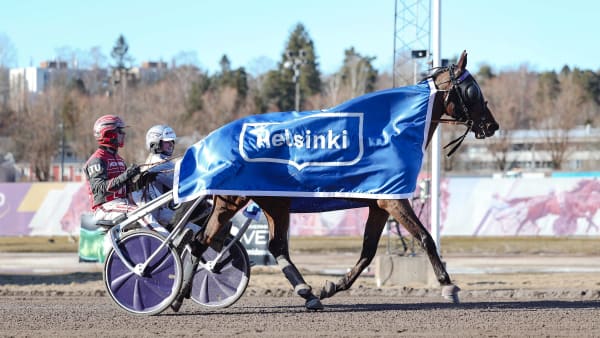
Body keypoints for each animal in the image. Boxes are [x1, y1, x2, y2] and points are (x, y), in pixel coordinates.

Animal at [182, 50, 496, 308]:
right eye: (472, 90)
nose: (492, 125)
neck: (392, 131)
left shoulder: (380, 203)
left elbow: (368, 251)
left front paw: (332, 286)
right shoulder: (394, 201)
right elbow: (425, 238)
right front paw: (448, 285)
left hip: (271, 203)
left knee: (229, 242)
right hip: (241, 199)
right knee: (208, 241)